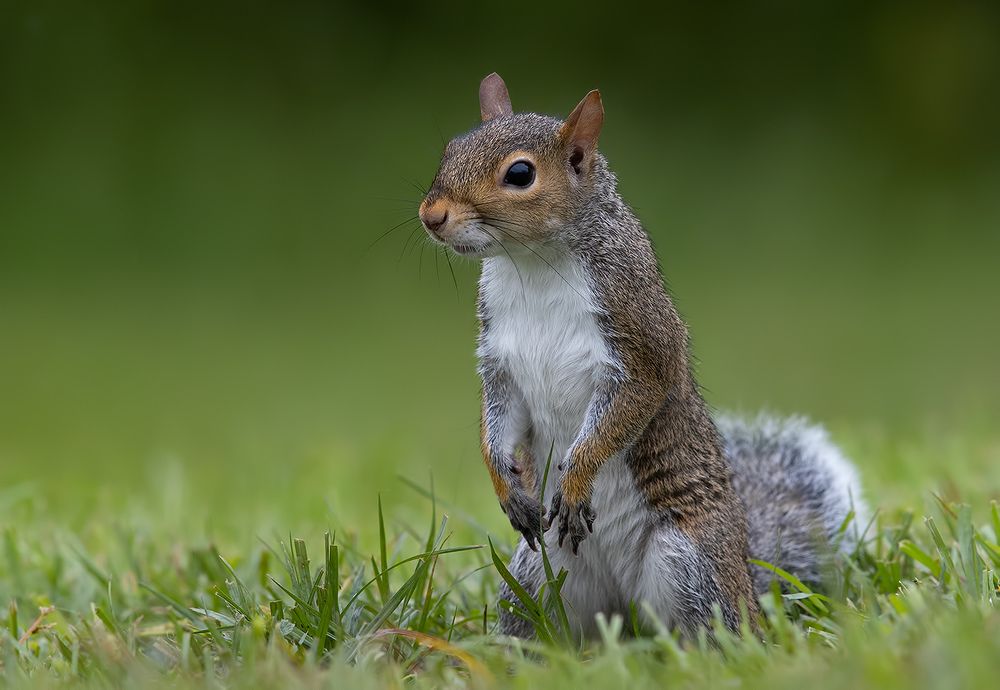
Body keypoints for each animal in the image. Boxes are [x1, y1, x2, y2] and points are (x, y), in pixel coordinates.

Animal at [417, 73, 866, 639]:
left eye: (520, 173)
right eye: (450, 149)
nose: (431, 216)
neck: (532, 265)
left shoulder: (640, 342)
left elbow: (626, 409)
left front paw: (576, 479)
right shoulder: (499, 362)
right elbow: (498, 421)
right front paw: (507, 485)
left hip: (688, 562)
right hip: (537, 574)